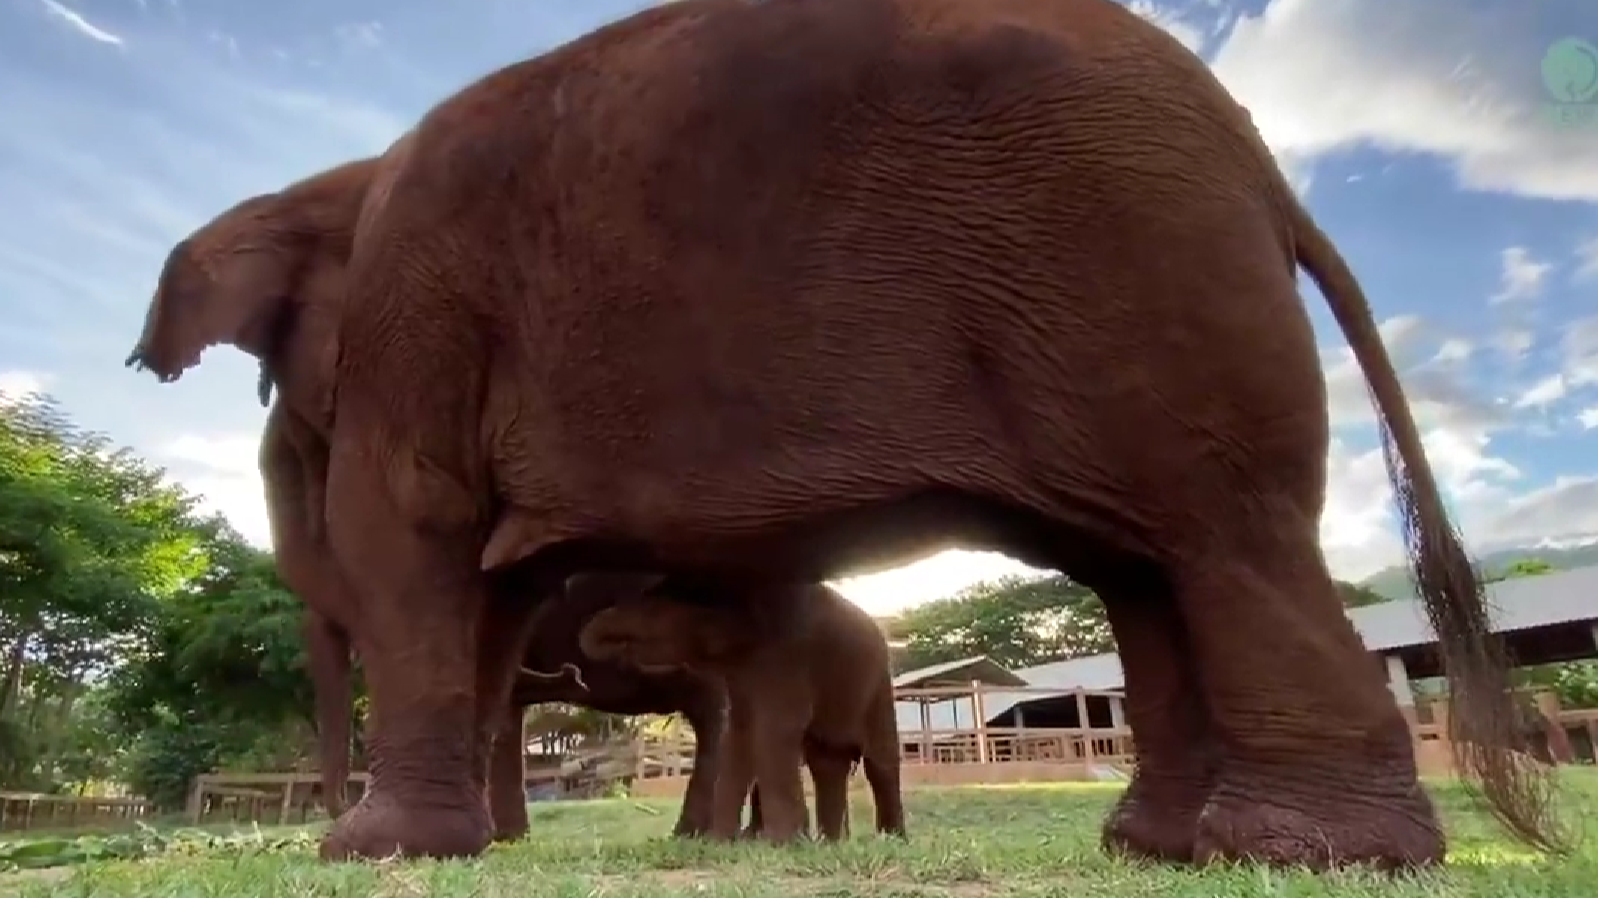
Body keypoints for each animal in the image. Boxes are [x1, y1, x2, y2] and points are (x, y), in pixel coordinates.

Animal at [580, 582, 905, 843]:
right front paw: (719, 842)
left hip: (880, 686)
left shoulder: (787, 657)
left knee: (880, 762)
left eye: (654, 607)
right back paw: (831, 843)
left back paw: (892, 839)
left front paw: (782, 842)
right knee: (827, 762)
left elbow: (774, 729)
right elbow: (739, 734)